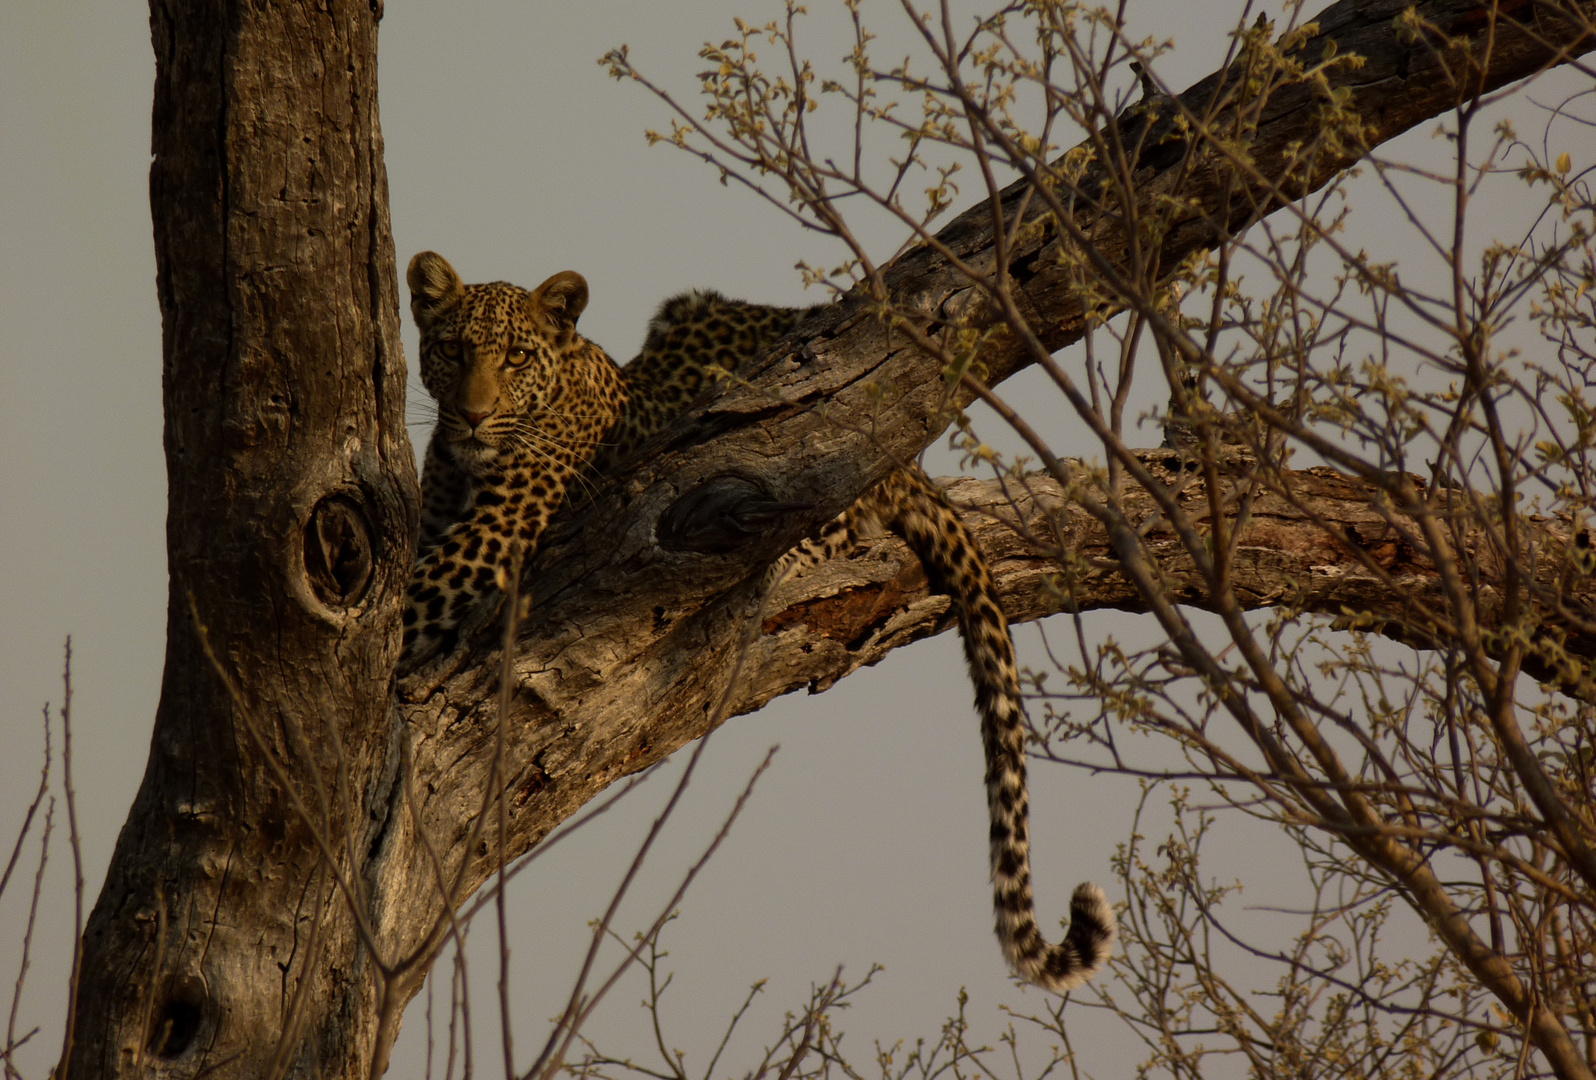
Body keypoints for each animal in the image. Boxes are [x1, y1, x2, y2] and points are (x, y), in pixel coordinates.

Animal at [405, 248, 1117, 989]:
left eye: (516, 357)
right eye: (452, 350)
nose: (472, 416)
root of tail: (912, 467)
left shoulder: (490, 538)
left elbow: (405, 605)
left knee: (836, 523)